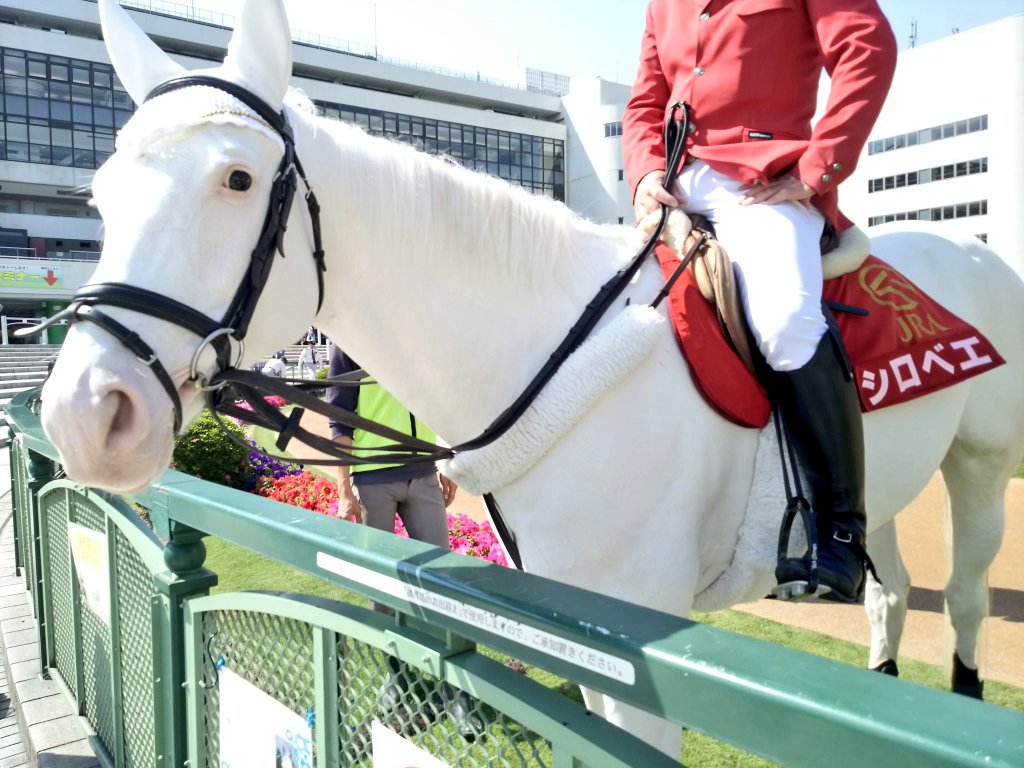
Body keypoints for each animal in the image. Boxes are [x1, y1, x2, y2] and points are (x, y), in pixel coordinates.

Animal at [38, 0, 1024, 756]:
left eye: (238, 179)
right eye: (99, 197)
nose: (85, 414)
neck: (552, 345)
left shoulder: (638, 658)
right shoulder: (583, 640)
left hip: (980, 462)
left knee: (965, 599)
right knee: (889, 594)